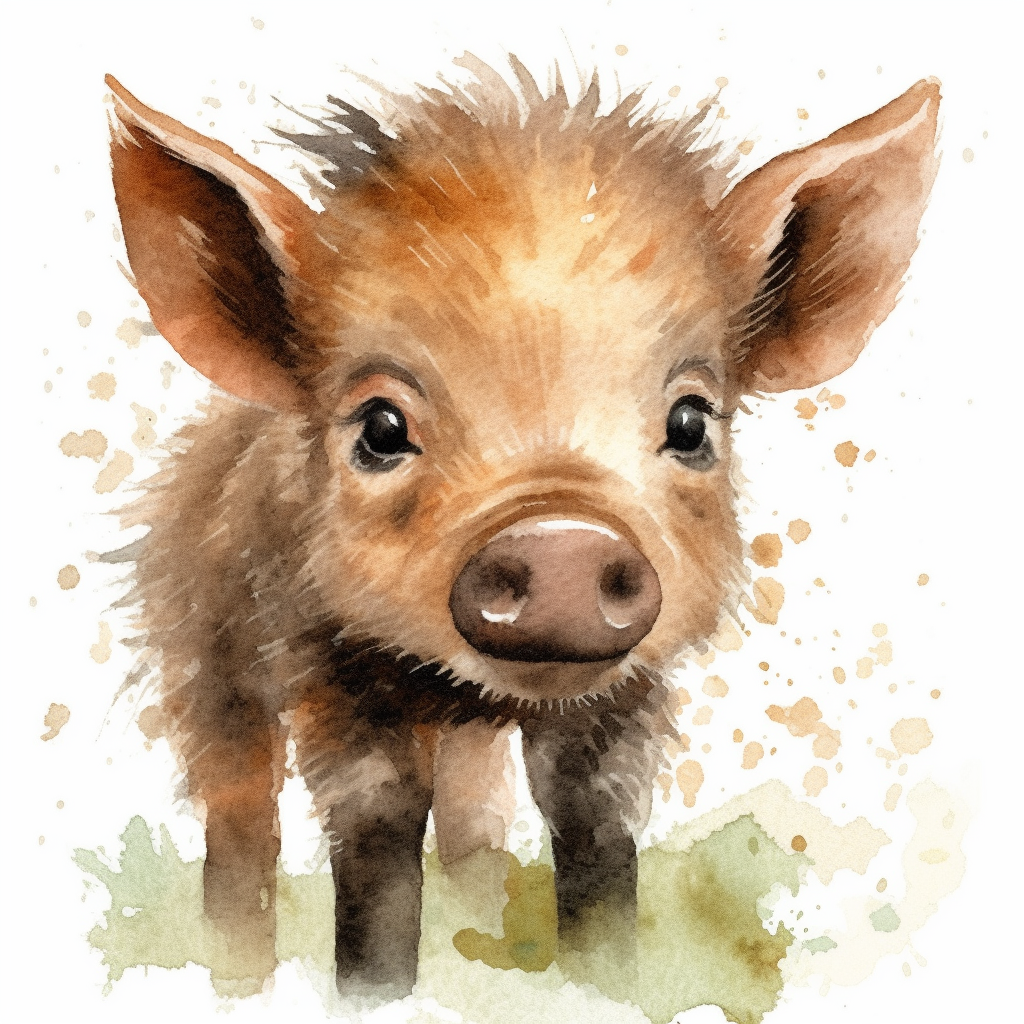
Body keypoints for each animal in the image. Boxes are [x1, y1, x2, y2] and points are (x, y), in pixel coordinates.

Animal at [104, 56, 939, 1001]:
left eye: (691, 421)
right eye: (380, 427)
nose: (562, 541)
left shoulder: (619, 700)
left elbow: (591, 818)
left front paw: (602, 985)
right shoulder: (323, 657)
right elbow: (377, 825)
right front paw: (375, 994)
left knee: (476, 818)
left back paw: (481, 943)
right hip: (199, 649)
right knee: (240, 806)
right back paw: (238, 974)